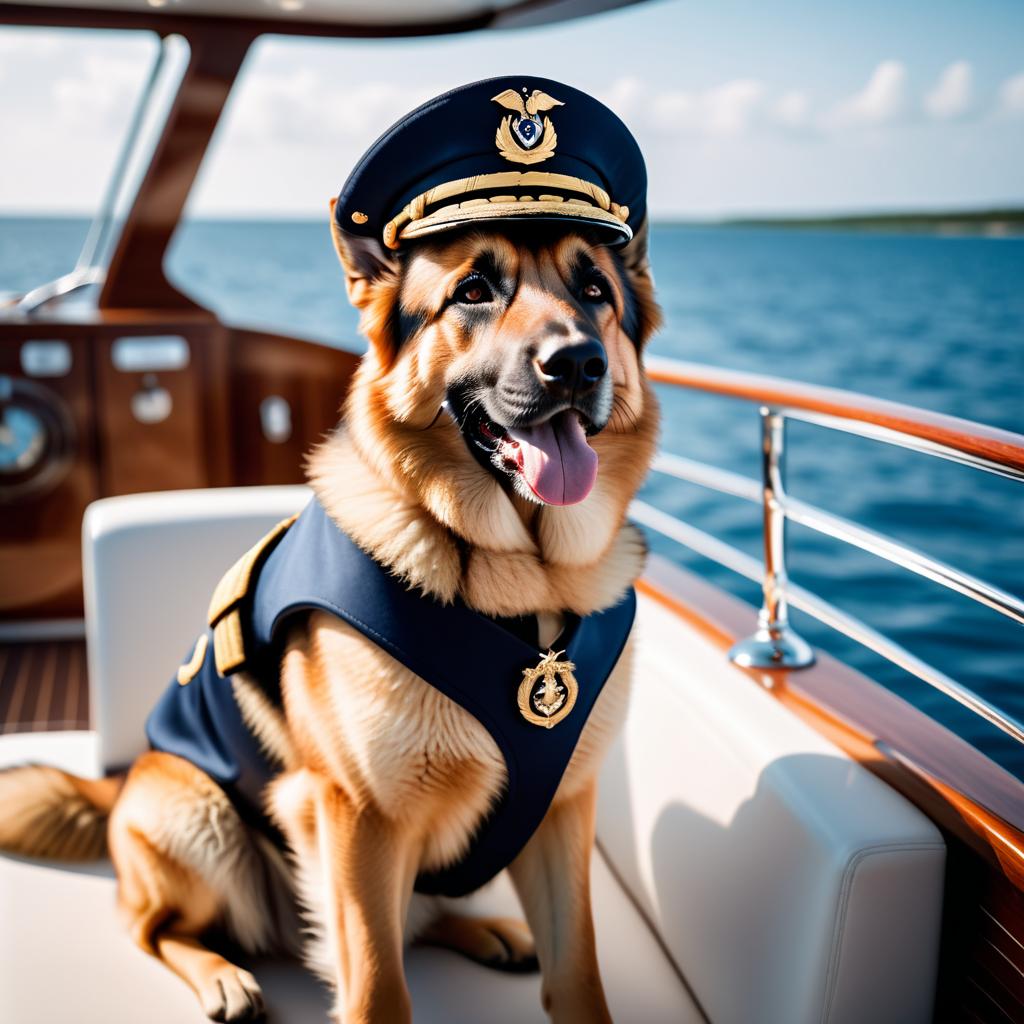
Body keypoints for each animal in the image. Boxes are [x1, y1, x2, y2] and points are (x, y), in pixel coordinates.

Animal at [0, 211, 655, 1019]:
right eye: (473, 290)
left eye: (594, 291)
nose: (578, 364)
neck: (523, 594)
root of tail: (117, 786)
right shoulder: (358, 818)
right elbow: (377, 984)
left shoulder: (561, 814)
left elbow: (577, 973)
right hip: (195, 815)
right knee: (150, 925)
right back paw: (220, 974)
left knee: (418, 918)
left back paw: (489, 933)